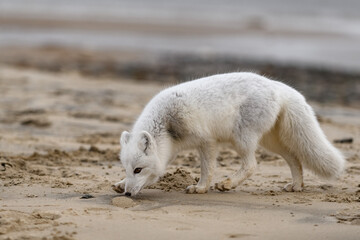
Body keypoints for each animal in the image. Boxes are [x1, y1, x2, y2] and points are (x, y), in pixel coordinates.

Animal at [112, 72, 344, 196]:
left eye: (139, 169)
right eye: (128, 169)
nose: (128, 194)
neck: (168, 124)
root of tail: (278, 86)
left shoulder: (207, 141)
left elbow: (207, 169)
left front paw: (201, 188)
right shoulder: (179, 148)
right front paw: (121, 183)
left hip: (241, 138)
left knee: (252, 165)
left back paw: (228, 183)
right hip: (270, 142)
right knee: (294, 159)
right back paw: (296, 186)